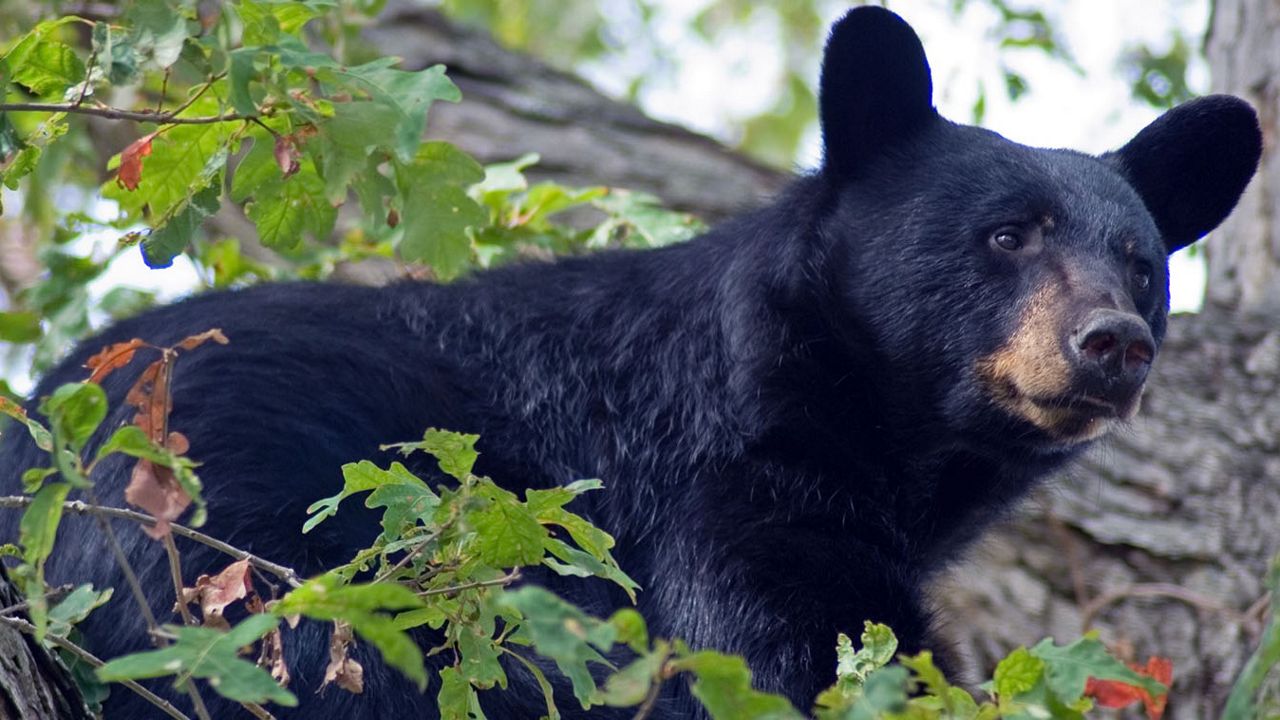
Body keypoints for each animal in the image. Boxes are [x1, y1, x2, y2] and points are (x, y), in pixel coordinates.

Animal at [0, 5, 1259, 717]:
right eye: (1005, 235)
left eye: (1139, 263)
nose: (1111, 343)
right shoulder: (712, 496)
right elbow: (787, 648)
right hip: (210, 527)